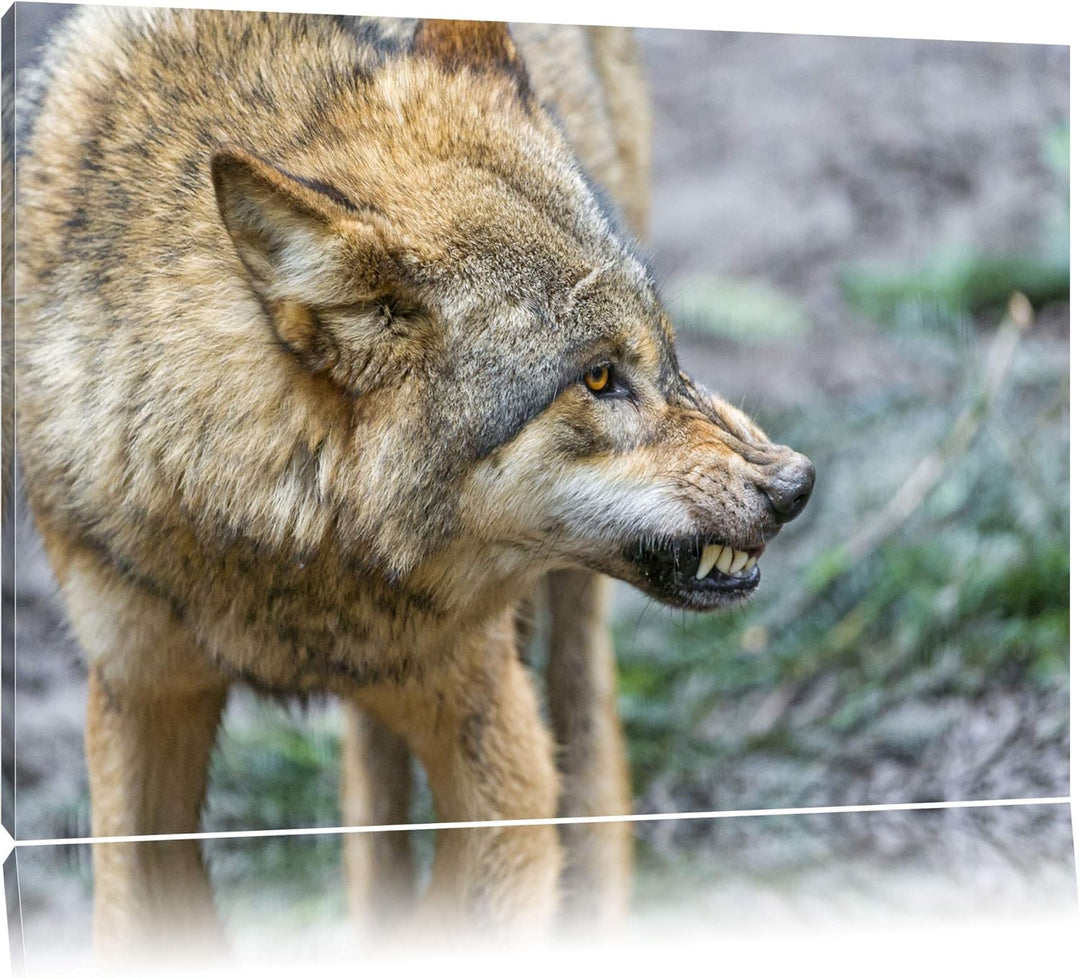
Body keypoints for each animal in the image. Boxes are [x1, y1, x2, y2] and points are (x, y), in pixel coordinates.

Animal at [13, 7, 813, 951]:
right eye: (598, 378)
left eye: (668, 357)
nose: (796, 485)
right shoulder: (138, 698)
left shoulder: (490, 727)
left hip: (566, 637)